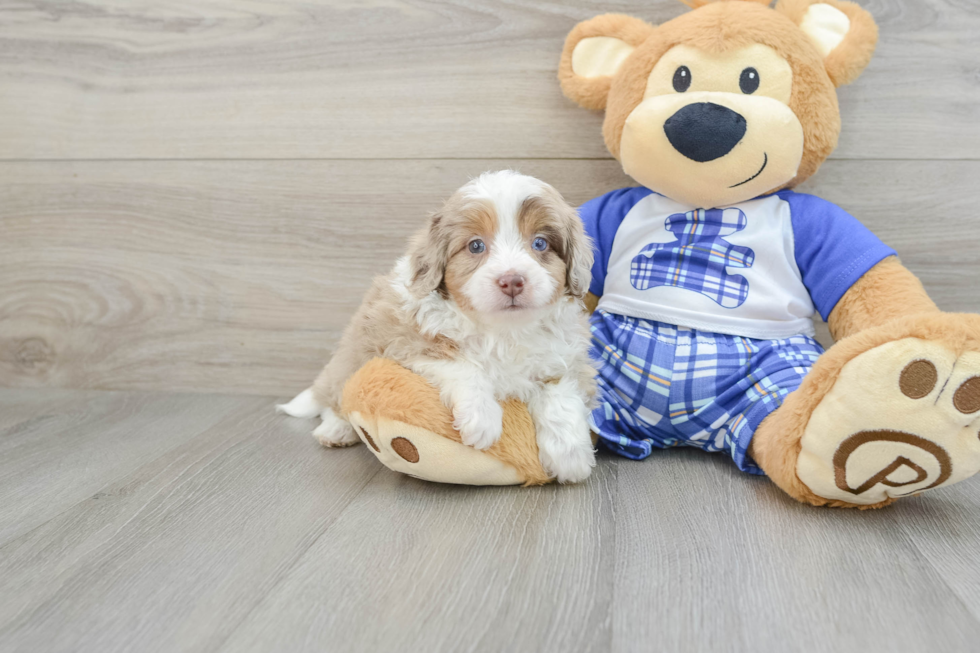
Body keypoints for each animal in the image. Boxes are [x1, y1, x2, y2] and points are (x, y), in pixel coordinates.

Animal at [280, 171, 600, 482]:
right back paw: (336, 429)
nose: (512, 280)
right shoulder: (404, 340)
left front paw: (571, 456)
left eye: (540, 243)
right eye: (475, 246)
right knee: (334, 397)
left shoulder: (566, 358)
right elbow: (462, 364)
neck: (503, 331)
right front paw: (482, 418)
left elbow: (561, 393)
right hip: (351, 352)